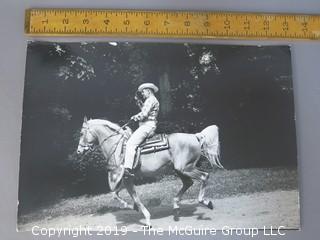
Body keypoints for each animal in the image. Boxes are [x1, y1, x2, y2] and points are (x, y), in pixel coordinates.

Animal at [77, 116, 222, 227]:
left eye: (81, 133)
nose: (79, 151)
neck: (117, 148)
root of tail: (195, 136)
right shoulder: (125, 179)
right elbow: (115, 194)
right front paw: (132, 207)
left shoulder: (127, 179)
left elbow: (135, 198)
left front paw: (146, 219)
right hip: (180, 170)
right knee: (188, 183)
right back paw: (176, 207)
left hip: (185, 168)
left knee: (204, 176)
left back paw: (205, 202)